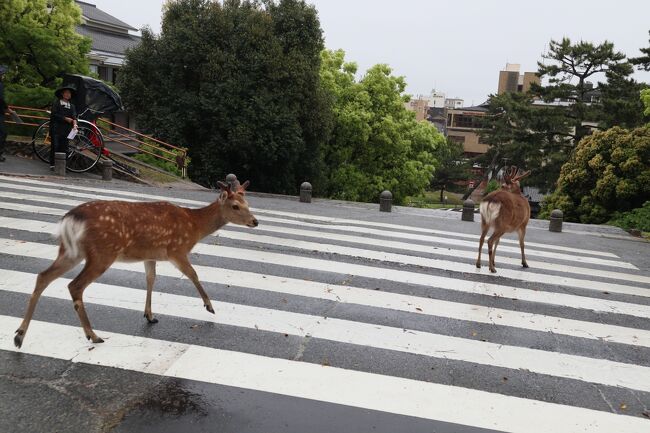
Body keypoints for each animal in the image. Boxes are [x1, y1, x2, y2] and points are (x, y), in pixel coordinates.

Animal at [13, 179, 256, 348]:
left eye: (248, 203)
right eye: (235, 206)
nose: (255, 221)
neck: (194, 226)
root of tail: (70, 219)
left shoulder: (151, 255)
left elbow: (151, 279)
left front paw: (150, 315)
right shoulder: (176, 250)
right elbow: (193, 274)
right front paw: (209, 306)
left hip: (71, 251)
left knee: (43, 276)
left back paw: (19, 336)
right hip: (102, 253)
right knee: (74, 285)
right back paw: (93, 335)